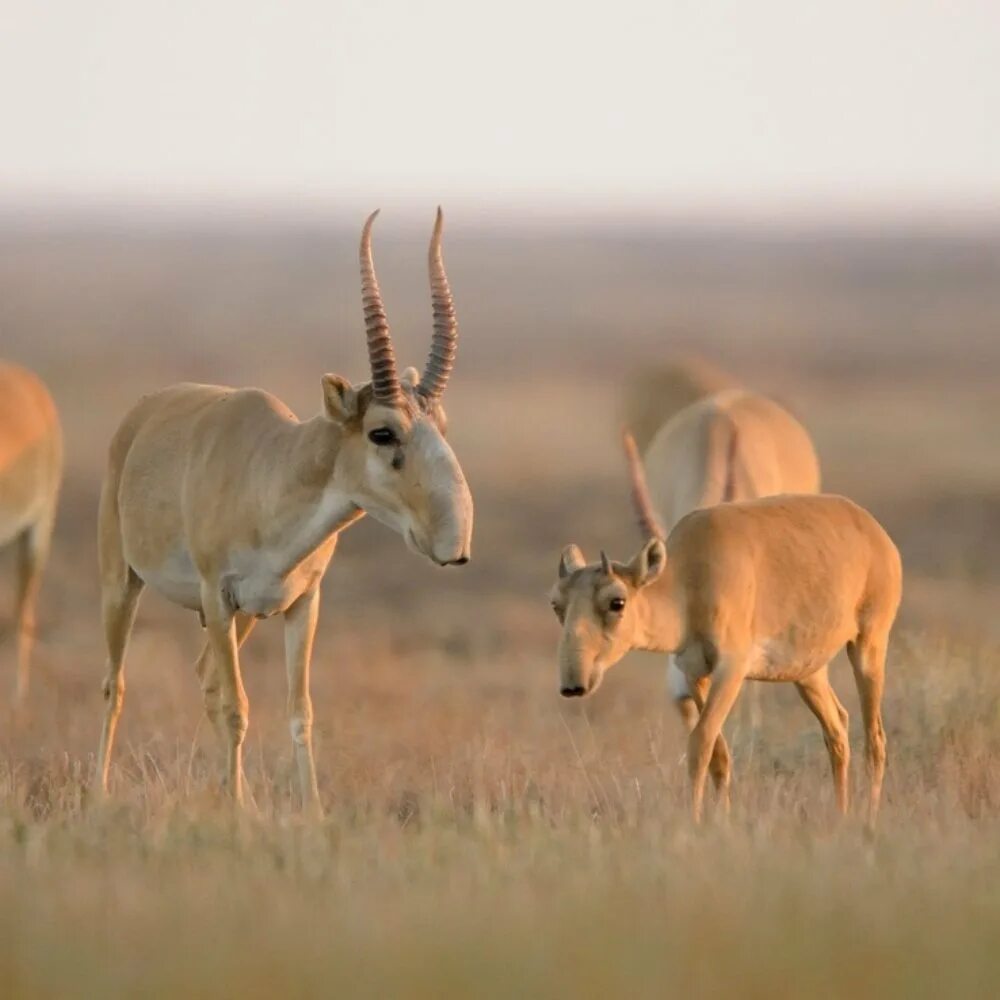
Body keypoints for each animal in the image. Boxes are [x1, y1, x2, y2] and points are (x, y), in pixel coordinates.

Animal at [97, 211, 472, 812]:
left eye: (441, 424)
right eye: (382, 431)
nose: (454, 541)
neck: (273, 471)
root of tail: (142, 414)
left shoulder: (302, 605)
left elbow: (300, 713)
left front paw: (307, 812)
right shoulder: (217, 596)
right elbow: (237, 707)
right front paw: (237, 815)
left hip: (246, 616)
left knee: (205, 677)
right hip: (124, 584)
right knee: (116, 684)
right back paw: (99, 792)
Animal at [552, 434, 904, 824]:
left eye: (617, 601)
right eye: (557, 604)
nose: (573, 685)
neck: (690, 577)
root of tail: (873, 529)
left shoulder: (731, 669)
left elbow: (701, 741)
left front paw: (694, 821)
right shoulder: (695, 672)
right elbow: (717, 753)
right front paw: (722, 820)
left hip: (868, 646)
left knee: (875, 739)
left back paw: (868, 818)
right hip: (807, 672)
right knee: (837, 729)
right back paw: (841, 814)